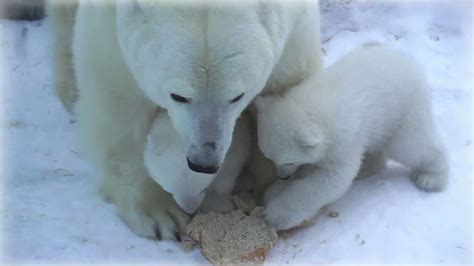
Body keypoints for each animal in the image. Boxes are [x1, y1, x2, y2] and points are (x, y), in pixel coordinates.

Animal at [47, 0, 322, 241]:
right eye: (178, 96)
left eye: (237, 96)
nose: (204, 162)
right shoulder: (109, 29)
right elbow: (118, 99)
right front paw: (159, 213)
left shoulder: (295, 23)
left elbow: (285, 83)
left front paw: (278, 187)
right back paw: (69, 86)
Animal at [258, 45, 450, 231]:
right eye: (269, 158)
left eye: (288, 161)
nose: (282, 176)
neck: (313, 109)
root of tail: (410, 62)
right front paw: (273, 191)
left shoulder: (341, 140)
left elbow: (331, 178)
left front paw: (276, 214)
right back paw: (367, 169)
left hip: (402, 110)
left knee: (412, 146)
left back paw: (431, 178)